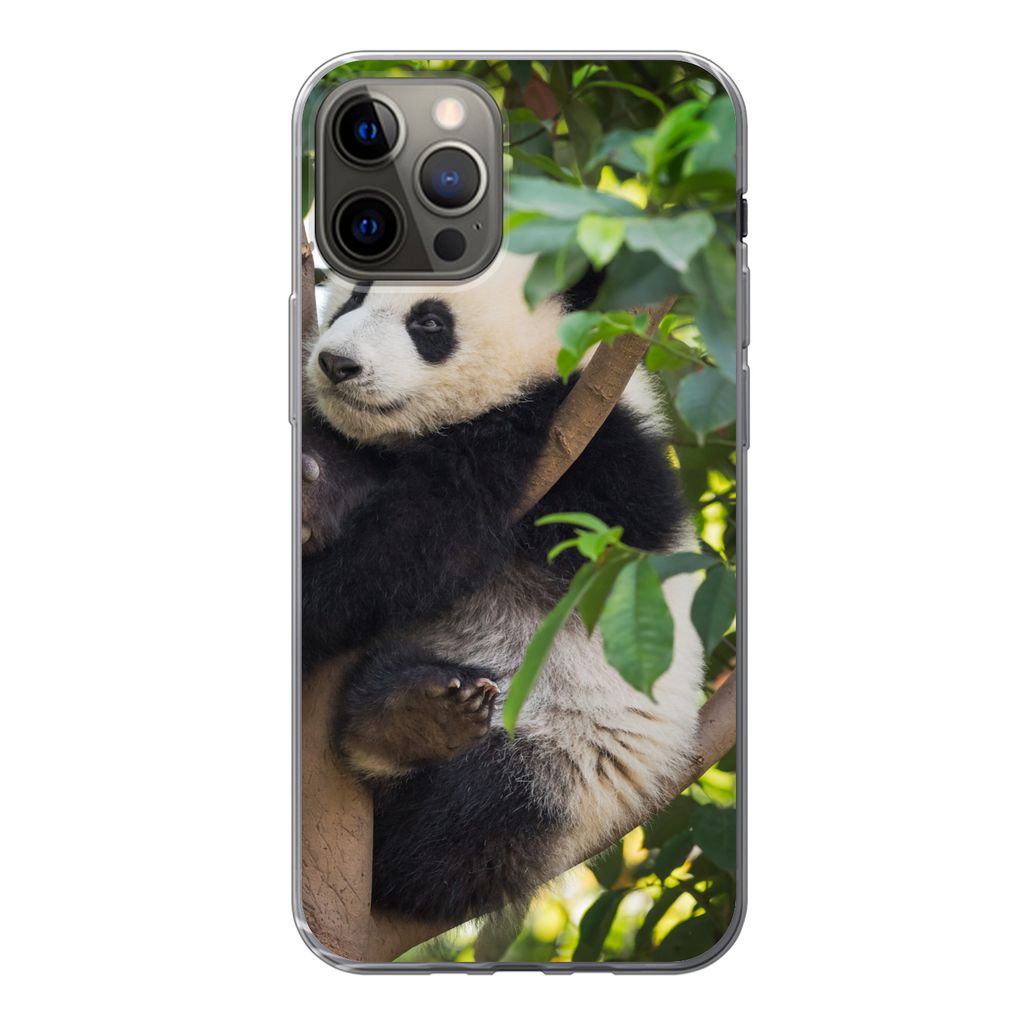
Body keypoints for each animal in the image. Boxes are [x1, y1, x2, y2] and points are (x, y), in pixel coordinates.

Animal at [301, 253, 705, 923]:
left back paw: (407, 722)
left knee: (455, 830)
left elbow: (420, 546)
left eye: (430, 323)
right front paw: (316, 487)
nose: (337, 364)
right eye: (354, 298)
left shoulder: (566, 444)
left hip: (565, 762)